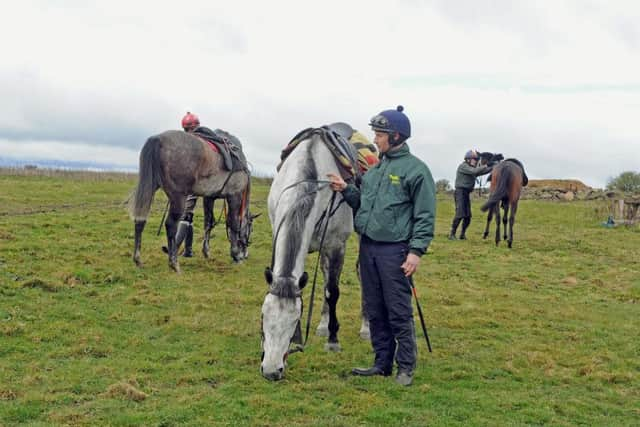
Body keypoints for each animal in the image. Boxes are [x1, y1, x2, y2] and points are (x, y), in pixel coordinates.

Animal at [127, 129, 255, 272]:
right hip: (178, 197)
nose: (246, 253)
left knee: (140, 220)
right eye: (251, 229)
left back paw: (138, 259)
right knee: (171, 224)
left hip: (151, 188)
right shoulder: (234, 196)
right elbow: (233, 223)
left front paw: (206, 251)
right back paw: (174, 262)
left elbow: (208, 222)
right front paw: (235, 255)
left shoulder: (209, 198)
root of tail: (157, 139)